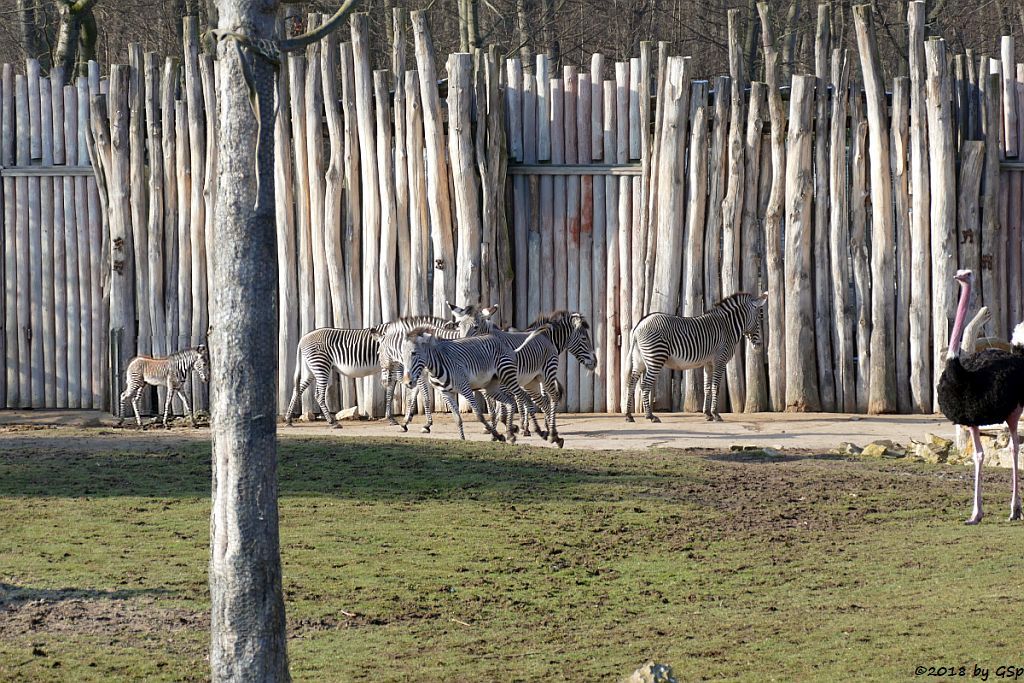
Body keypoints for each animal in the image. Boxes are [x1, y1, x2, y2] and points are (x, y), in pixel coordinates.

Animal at [286, 309, 481, 428]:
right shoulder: (401, 365)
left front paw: (399, 418)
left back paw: (288, 419)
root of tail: (303, 338)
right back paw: (332, 422)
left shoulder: (403, 367)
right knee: (318, 394)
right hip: (321, 366)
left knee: (298, 389)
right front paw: (414, 420)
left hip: (311, 369)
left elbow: (399, 390)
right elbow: (414, 392)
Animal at [399, 325, 536, 444]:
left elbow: (479, 415)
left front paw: (498, 435)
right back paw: (511, 432)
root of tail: (501, 342)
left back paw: (519, 431)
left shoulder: (465, 388)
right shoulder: (445, 393)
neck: (436, 365)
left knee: (520, 398)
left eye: (414, 353)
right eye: (402, 355)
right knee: (510, 402)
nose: (407, 382)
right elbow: (457, 418)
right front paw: (462, 438)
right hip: (492, 387)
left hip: (508, 377)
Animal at [622, 292, 770, 423]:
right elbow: (716, 387)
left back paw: (629, 415)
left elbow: (707, 387)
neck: (727, 327)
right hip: (656, 358)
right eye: (759, 319)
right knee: (644, 385)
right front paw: (716, 414)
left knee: (631, 384)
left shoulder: (709, 363)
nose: (759, 345)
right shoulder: (720, 360)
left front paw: (708, 414)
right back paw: (650, 416)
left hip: (639, 360)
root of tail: (638, 326)